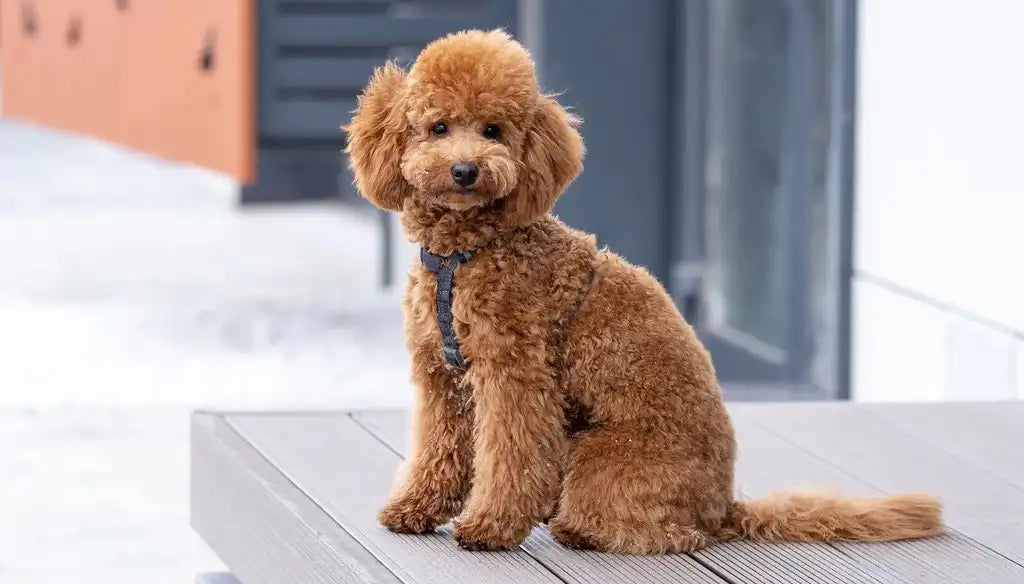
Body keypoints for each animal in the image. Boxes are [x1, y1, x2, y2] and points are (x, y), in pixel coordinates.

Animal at [344, 29, 942, 553]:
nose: (466, 170)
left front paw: (490, 526)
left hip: (601, 456)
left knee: (665, 534)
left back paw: (579, 527)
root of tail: (723, 507)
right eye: (438, 127)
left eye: (493, 130)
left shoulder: (513, 375)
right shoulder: (441, 375)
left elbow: (512, 457)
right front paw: (414, 509)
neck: (465, 253)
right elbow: (437, 448)